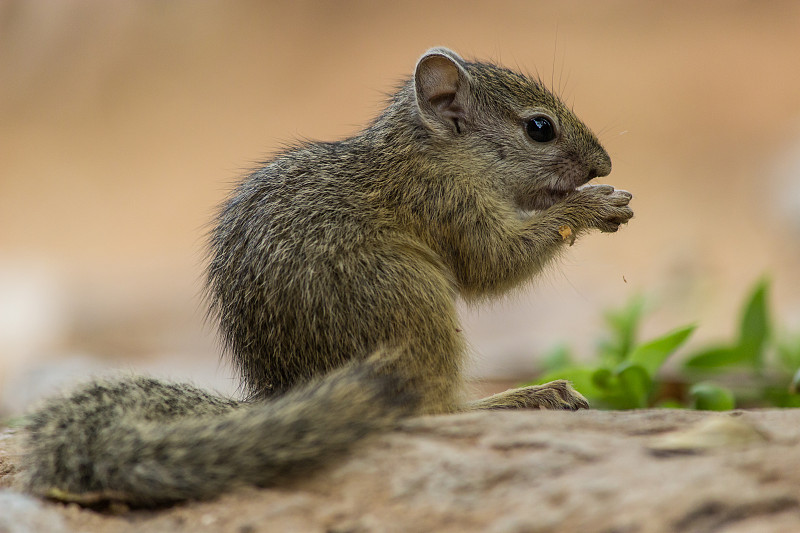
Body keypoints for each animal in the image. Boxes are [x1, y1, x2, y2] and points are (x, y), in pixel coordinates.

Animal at [20, 47, 632, 504]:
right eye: (539, 128)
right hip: (413, 307)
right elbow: (494, 261)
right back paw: (527, 398)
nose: (602, 164)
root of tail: (281, 394)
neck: (432, 150)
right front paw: (591, 206)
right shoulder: (443, 202)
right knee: (430, 411)